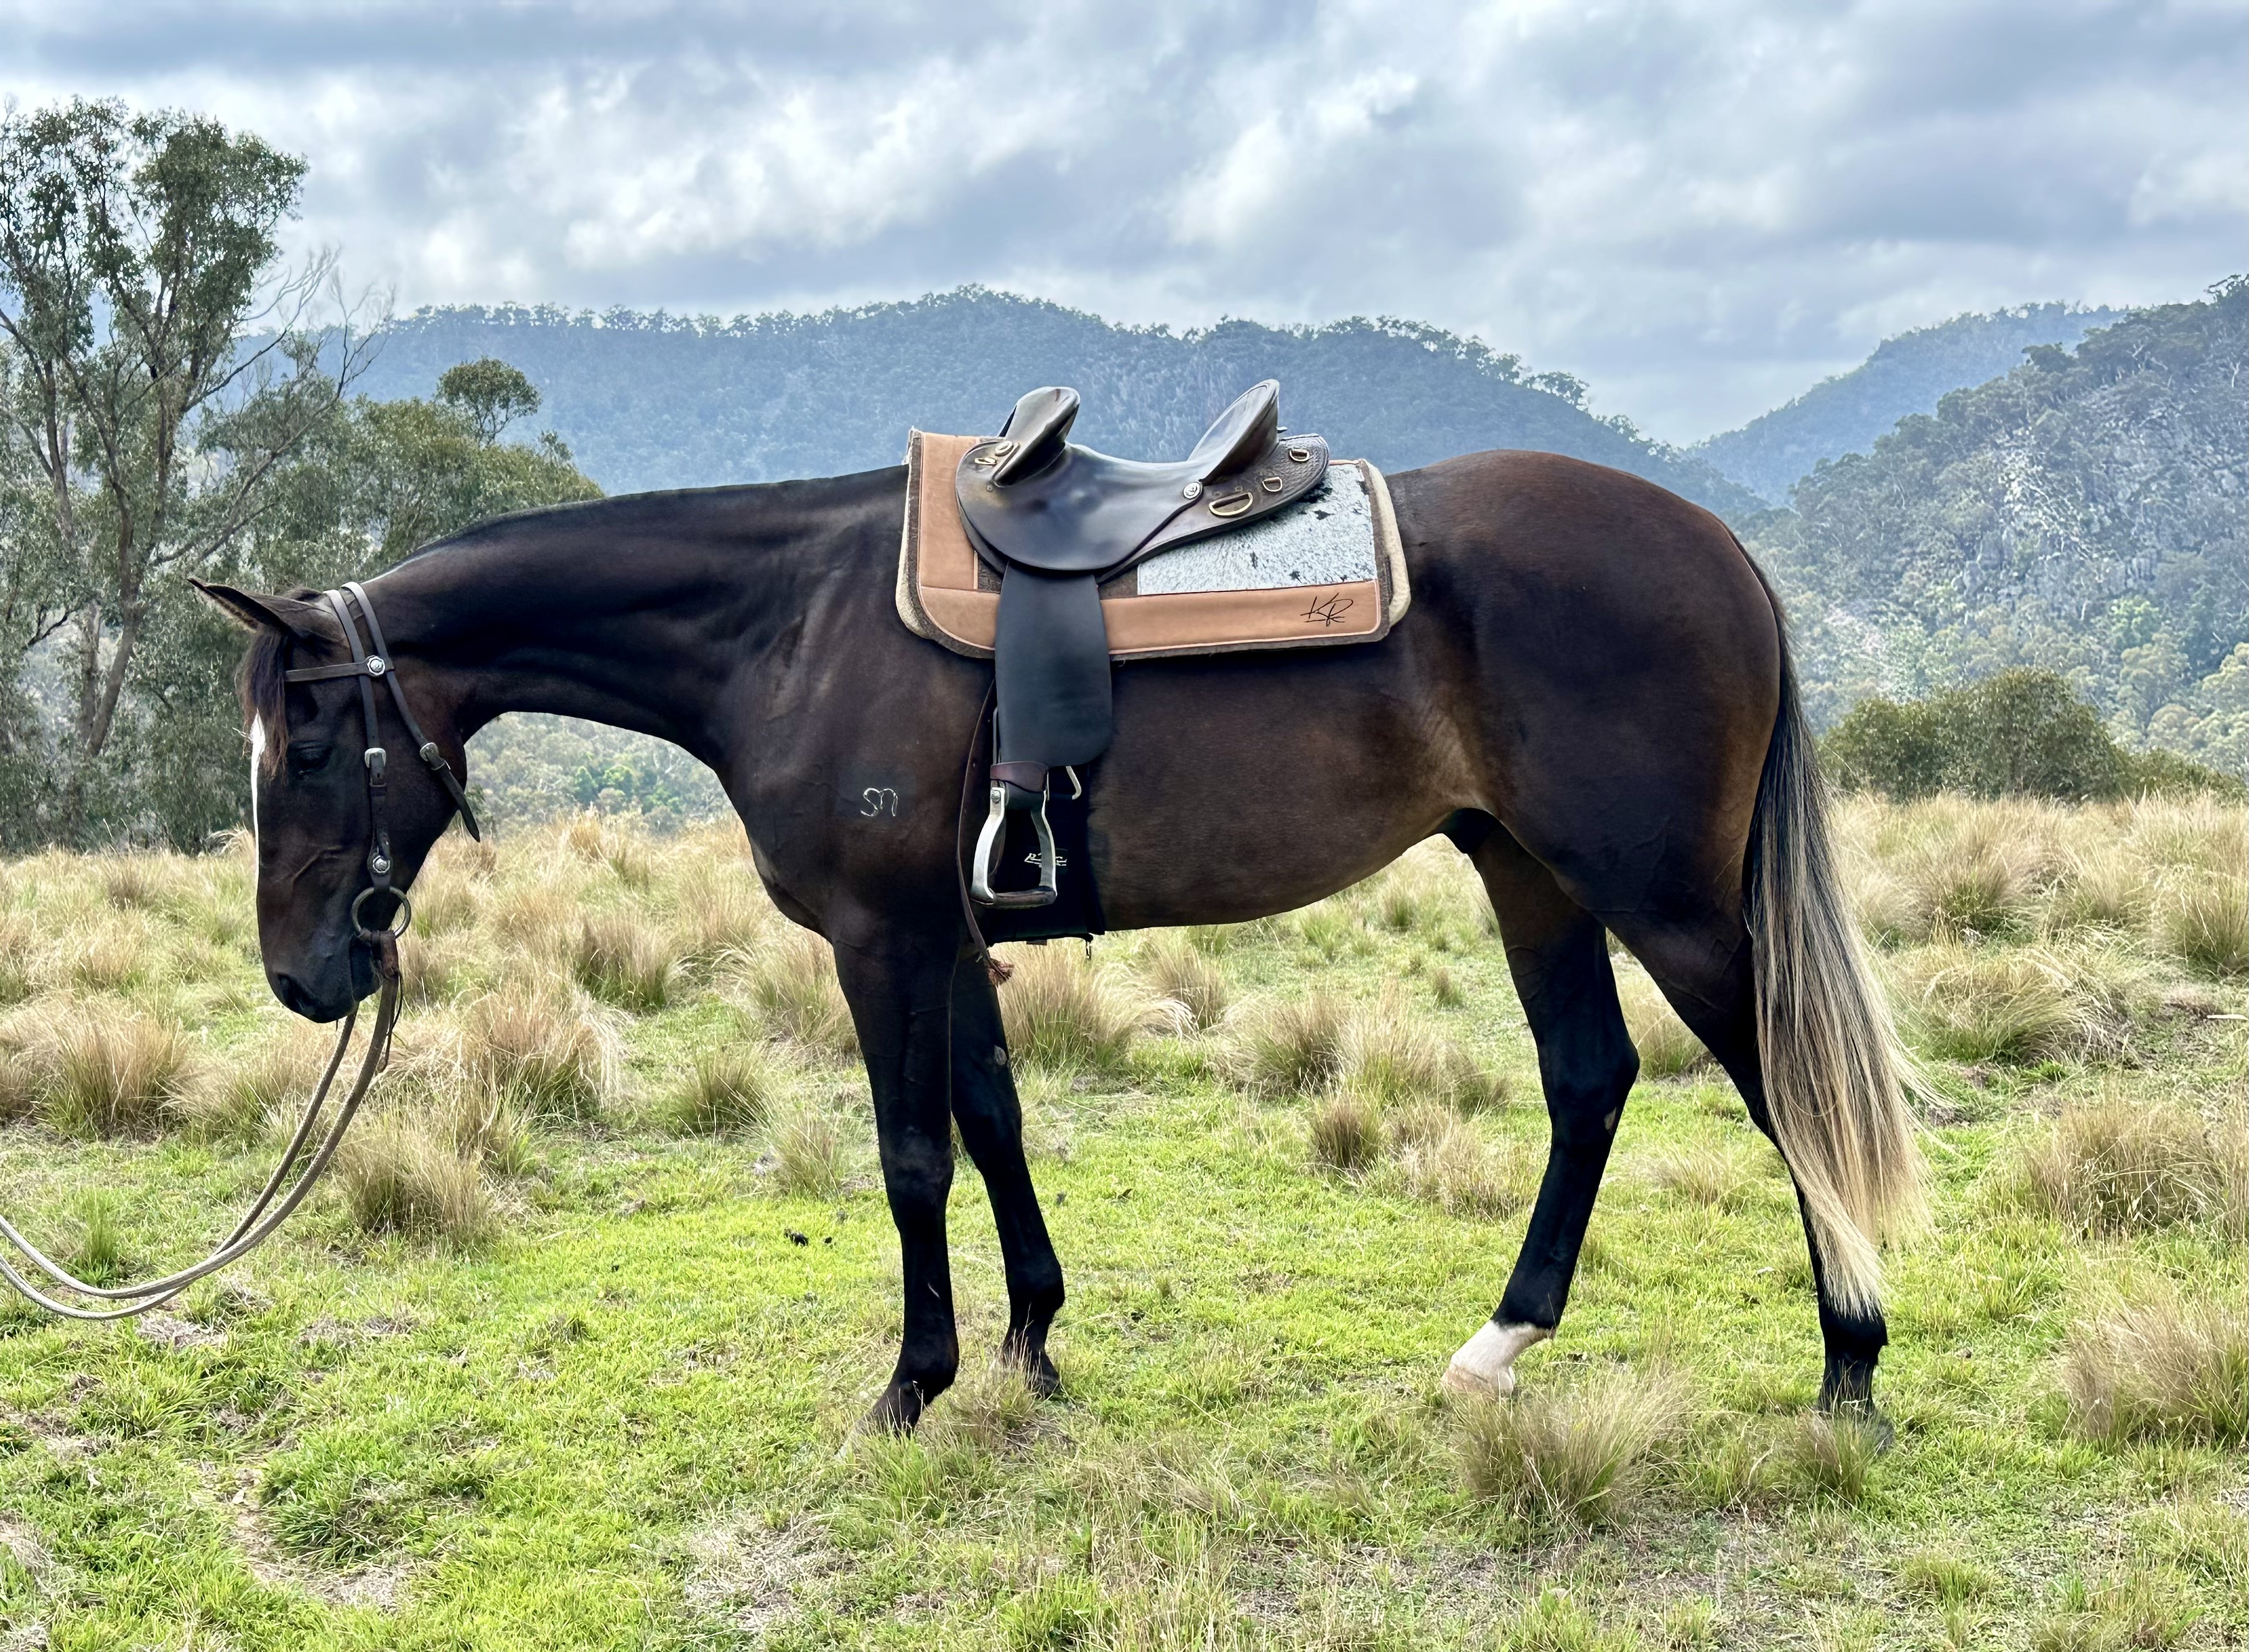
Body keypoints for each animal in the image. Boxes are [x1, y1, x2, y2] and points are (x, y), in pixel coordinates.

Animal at [197, 445, 1923, 1436]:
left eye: (307, 743)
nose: (301, 975)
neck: (788, 627)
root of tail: (1720, 551)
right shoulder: (951, 935)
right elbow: (994, 1117)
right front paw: (1030, 1335)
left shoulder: (880, 939)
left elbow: (910, 1152)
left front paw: (914, 1379)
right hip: (1527, 869)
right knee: (1588, 1079)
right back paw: (1501, 1344)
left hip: (1660, 898)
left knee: (1784, 1087)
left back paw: (1849, 1361)